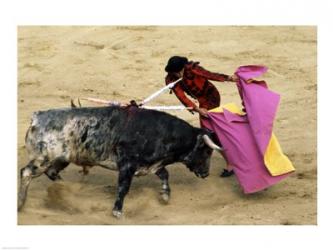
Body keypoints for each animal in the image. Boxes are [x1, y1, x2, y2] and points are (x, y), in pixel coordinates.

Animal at [17, 103, 220, 217]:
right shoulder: (127, 165)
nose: (206, 173)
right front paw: (117, 211)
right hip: (43, 158)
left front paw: (165, 196)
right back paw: (21, 204)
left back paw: (65, 189)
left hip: (62, 158)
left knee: (52, 173)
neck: (162, 133)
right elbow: (123, 188)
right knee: (26, 172)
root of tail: (37, 117)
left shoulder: (151, 165)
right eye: (206, 151)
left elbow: (165, 174)